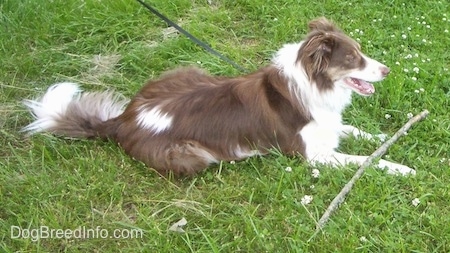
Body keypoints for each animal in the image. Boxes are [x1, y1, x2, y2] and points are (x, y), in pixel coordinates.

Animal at [21, 17, 414, 176]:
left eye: (361, 52)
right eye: (352, 59)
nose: (387, 70)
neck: (313, 84)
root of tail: (123, 120)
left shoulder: (326, 125)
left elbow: (356, 132)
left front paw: (382, 135)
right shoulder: (313, 155)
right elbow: (366, 160)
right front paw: (402, 167)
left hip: (187, 70)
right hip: (190, 157)